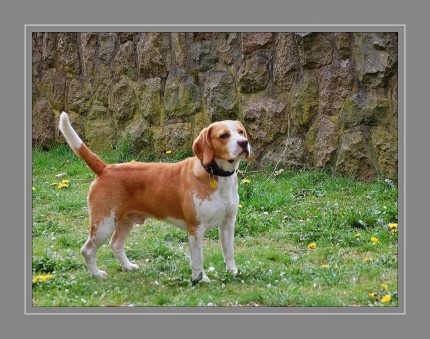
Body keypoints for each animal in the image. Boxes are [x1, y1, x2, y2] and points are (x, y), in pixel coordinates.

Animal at [58, 113, 250, 282]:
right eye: (224, 135)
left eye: (241, 132)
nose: (244, 143)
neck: (216, 175)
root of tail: (105, 168)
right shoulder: (196, 229)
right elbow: (197, 260)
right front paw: (200, 279)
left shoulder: (228, 223)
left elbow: (229, 252)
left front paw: (233, 272)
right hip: (103, 225)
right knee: (87, 250)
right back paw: (97, 274)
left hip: (125, 221)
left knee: (115, 245)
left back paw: (127, 266)